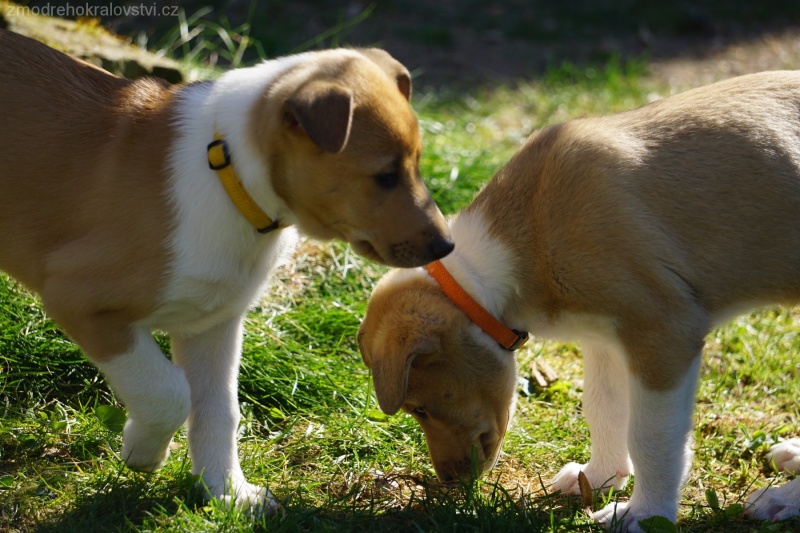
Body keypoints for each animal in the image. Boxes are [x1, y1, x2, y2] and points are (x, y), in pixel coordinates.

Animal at [0, 29, 454, 512]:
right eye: (385, 175)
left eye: (417, 164)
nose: (446, 246)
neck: (228, 176)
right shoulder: (79, 298)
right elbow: (169, 391)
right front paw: (142, 451)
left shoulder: (211, 321)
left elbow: (219, 410)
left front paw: (227, 493)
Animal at [360, 69, 800, 528]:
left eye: (419, 409)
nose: (448, 483)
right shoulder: (604, 337)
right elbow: (604, 410)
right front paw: (600, 476)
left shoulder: (664, 333)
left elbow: (652, 437)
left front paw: (645, 515)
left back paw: (783, 499)